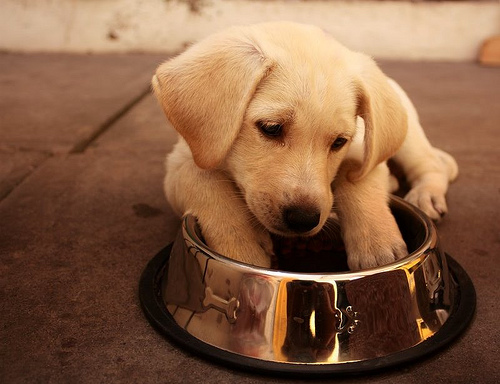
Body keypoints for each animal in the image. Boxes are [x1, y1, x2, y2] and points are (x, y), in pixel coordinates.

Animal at [151, 21, 458, 270]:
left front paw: (378, 243)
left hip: (407, 137)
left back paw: (426, 194)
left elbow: (356, 180)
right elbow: (206, 184)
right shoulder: (184, 160)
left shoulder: (363, 153)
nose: (303, 219)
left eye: (339, 142)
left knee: (430, 165)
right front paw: (242, 246)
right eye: (271, 128)